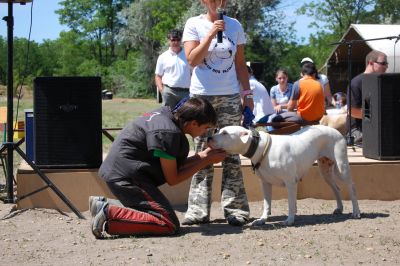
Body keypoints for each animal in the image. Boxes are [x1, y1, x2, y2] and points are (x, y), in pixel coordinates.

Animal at [208, 125, 360, 225]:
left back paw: (356, 212)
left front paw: (290, 219)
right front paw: (262, 219)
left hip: (342, 167)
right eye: (218, 130)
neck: (262, 148)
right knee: (336, 188)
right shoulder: (265, 183)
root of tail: (336, 131)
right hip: (325, 171)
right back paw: (339, 208)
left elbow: (291, 203)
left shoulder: (290, 183)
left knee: (352, 187)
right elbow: (266, 204)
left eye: (225, 133)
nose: (209, 137)